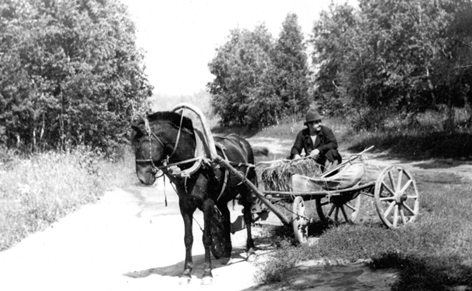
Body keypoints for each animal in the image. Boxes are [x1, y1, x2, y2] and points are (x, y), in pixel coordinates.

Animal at [131, 110, 256, 284]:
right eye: (134, 147)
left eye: (143, 145)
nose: (143, 178)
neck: (194, 165)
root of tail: (242, 141)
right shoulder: (185, 206)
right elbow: (188, 238)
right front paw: (186, 272)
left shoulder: (207, 204)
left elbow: (207, 238)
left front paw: (207, 273)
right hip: (222, 198)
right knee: (226, 216)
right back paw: (227, 253)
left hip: (246, 189)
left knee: (248, 217)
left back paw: (250, 250)